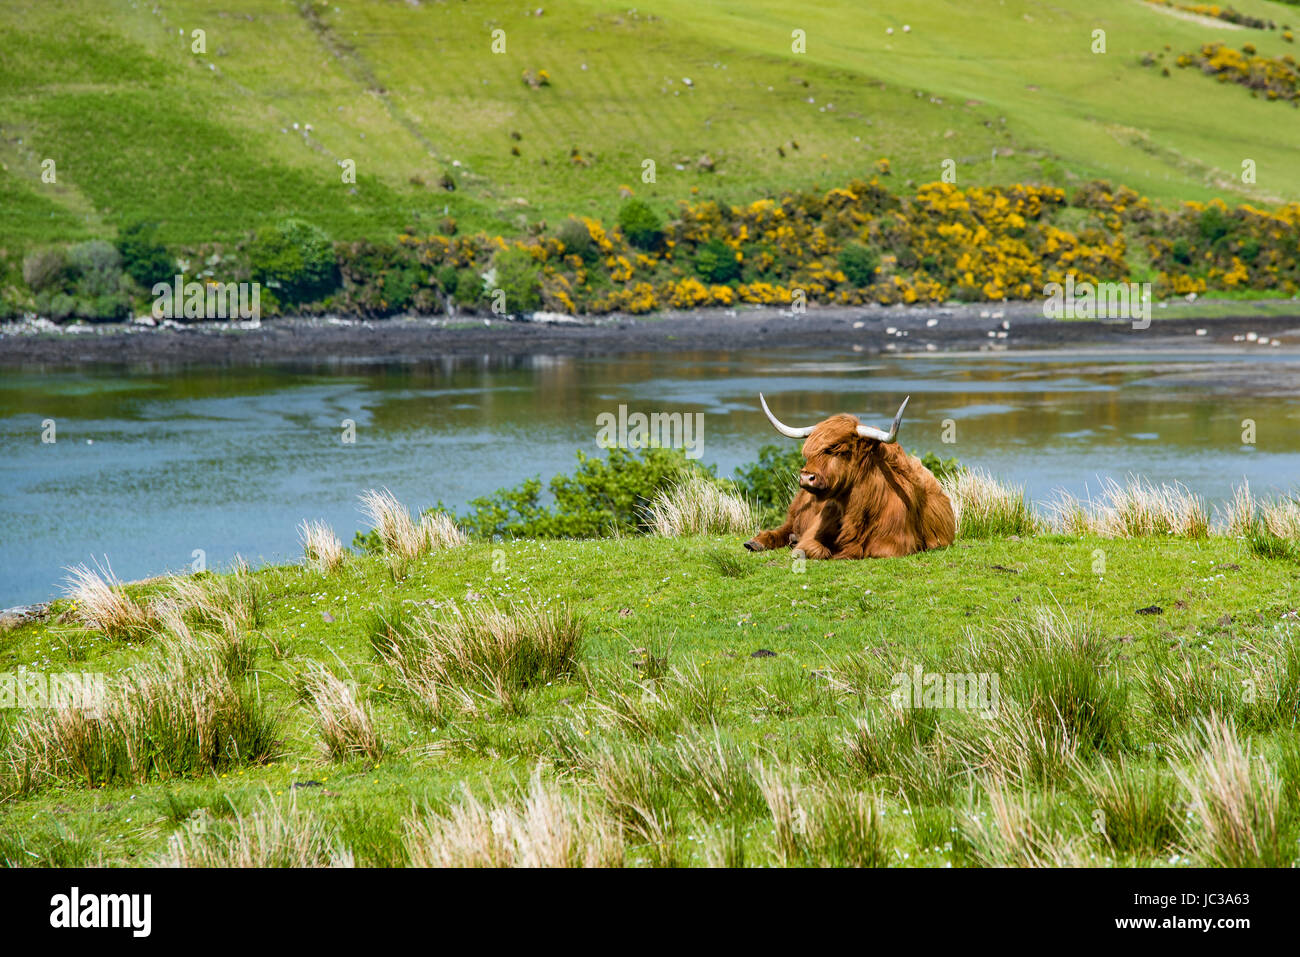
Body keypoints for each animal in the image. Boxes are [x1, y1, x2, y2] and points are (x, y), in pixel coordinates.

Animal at [743, 395, 956, 561]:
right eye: (810, 451)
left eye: (842, 450)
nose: (806, 477)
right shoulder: (812, 536)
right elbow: (815, 550)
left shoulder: (894, 545)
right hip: (795, 513)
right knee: (783, 528)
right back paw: (756, 543)